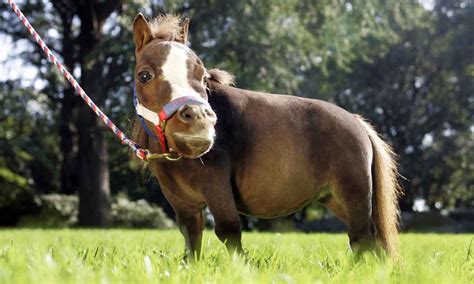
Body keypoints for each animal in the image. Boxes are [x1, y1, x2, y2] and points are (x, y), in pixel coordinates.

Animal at [130, 13, 400, 260]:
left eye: (202, 74)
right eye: (144, 75)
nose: (198, 121)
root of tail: (357, 123)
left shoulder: (216, 186)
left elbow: (228, 230)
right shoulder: (180, 200)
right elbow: (191, 237)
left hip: (354, 196)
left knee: (362, 238)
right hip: (336, 200)